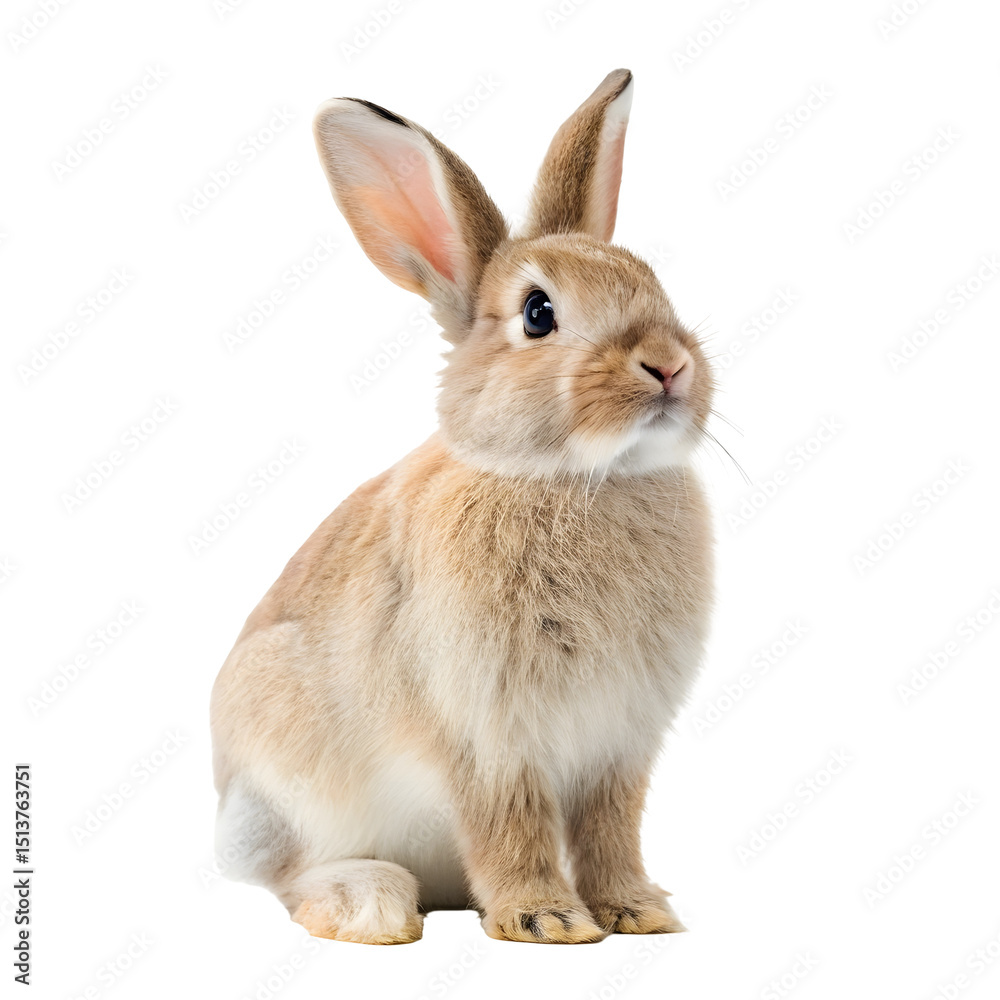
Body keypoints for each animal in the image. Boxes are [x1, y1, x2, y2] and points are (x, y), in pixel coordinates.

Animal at [210, 68, 715, 945]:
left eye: (650, 281)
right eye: (539, 313)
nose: (669, 364)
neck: (570, 478)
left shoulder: (619, 745)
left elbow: (611, 829)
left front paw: (637, 911)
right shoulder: (486, 733)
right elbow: (509, 824)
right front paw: (548, 920)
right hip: (288, 781)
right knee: (286, 877)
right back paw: (369, 903)